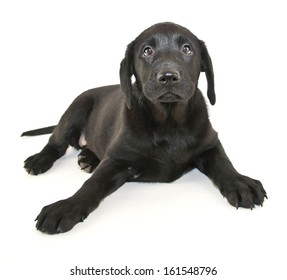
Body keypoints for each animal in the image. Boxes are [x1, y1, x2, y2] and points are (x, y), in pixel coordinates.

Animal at [22, 23, 268, 234]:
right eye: (147, 51)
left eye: (187, 49)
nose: (168, 77)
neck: (169, 122)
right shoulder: (117, 159)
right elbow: (92, 184)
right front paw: (66, 207)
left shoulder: (211, 144)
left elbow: (224, 164)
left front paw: (240, 183)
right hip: (76, 108)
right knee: (56, 143)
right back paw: (40, 160)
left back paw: (88, 158)